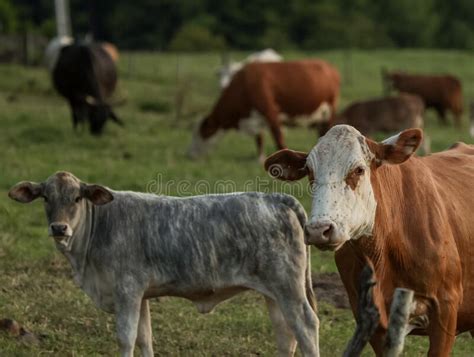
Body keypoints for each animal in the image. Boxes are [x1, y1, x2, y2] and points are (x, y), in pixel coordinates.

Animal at [8, 171, 318, 354]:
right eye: (45, 198)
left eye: (76, 198)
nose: (59, 228)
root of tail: (276, 197)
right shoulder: (142, 295)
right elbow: (144, 337)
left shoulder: (127, 291)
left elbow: (126, 337)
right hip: (274, 294)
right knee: (286, 335)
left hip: (288, 288)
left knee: (306, 327)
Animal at [187, 60, 338, 163]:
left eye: (202, 133)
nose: (190, 154)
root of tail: (327, 65)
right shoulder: (256, 118)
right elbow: (259, 138)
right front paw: (259, 160)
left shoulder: (271, 113)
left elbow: (279, 139)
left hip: (329, 111)